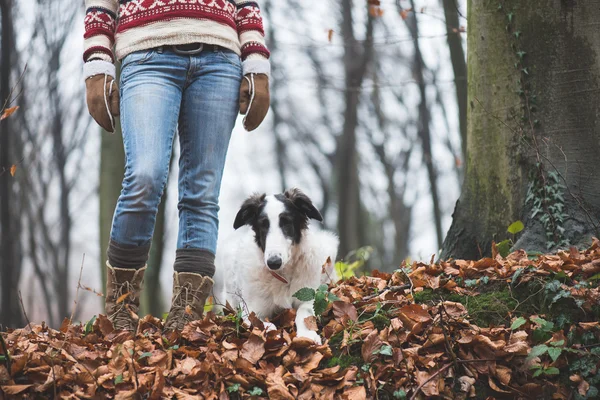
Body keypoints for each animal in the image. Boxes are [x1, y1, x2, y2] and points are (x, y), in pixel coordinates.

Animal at [214, 189, 338, 342]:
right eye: (263, 225)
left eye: (286, 222)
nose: (274, 262)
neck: (284, 275)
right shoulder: (251, 310)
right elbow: (264, 324)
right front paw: (275, 335)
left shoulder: (310, 297)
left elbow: (304, 312)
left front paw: (307, 334)